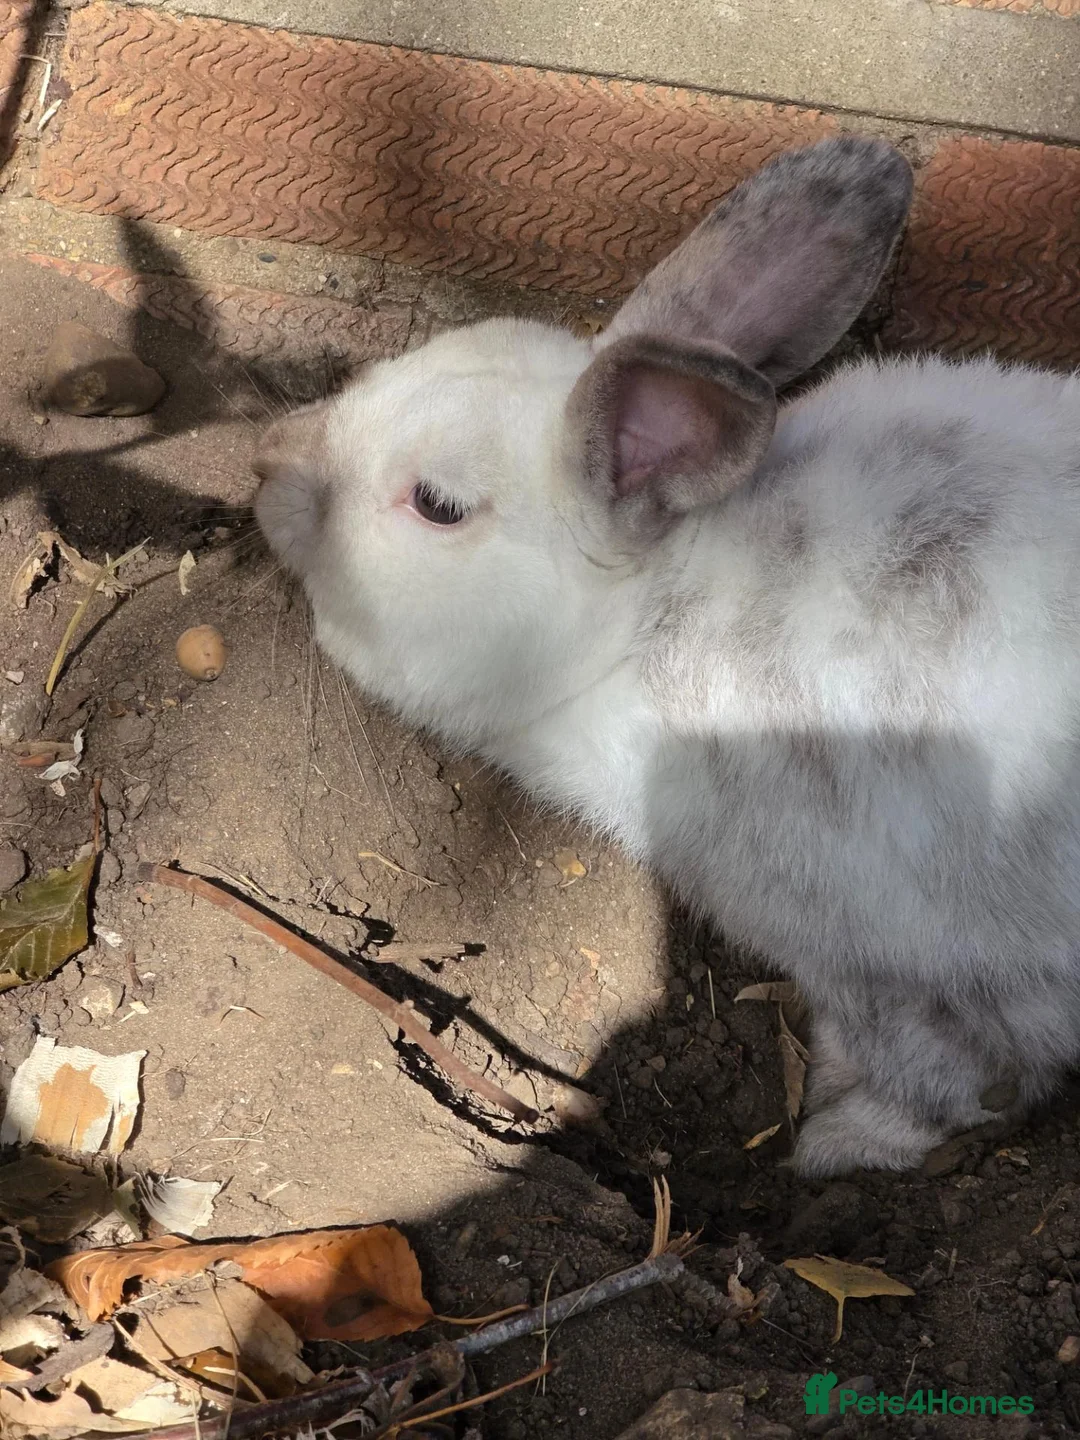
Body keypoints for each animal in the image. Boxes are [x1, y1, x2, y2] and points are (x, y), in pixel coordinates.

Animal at [254, 136, 1080, 1178]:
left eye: (438, 505)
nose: (266, 463)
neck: (653, 613)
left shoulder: (895, 950)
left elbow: (955, 1070)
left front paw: (835, 1144)